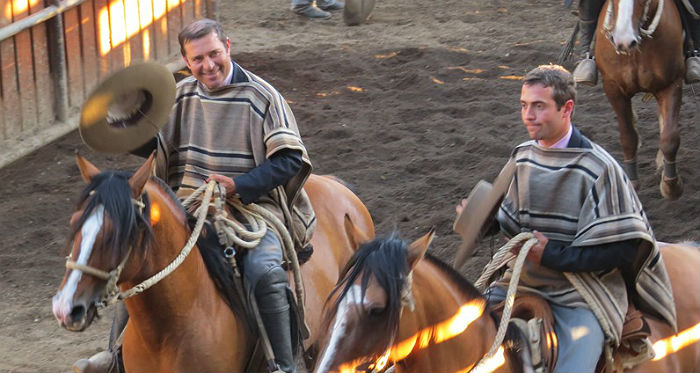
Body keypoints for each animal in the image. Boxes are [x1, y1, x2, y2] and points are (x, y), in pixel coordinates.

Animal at [592, 0, 688, 199]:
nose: (623, 41)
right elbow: (628, 137)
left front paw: (671, 185)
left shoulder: (672, 84)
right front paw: (631, 183)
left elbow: (670, 137)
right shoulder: (613, 89)